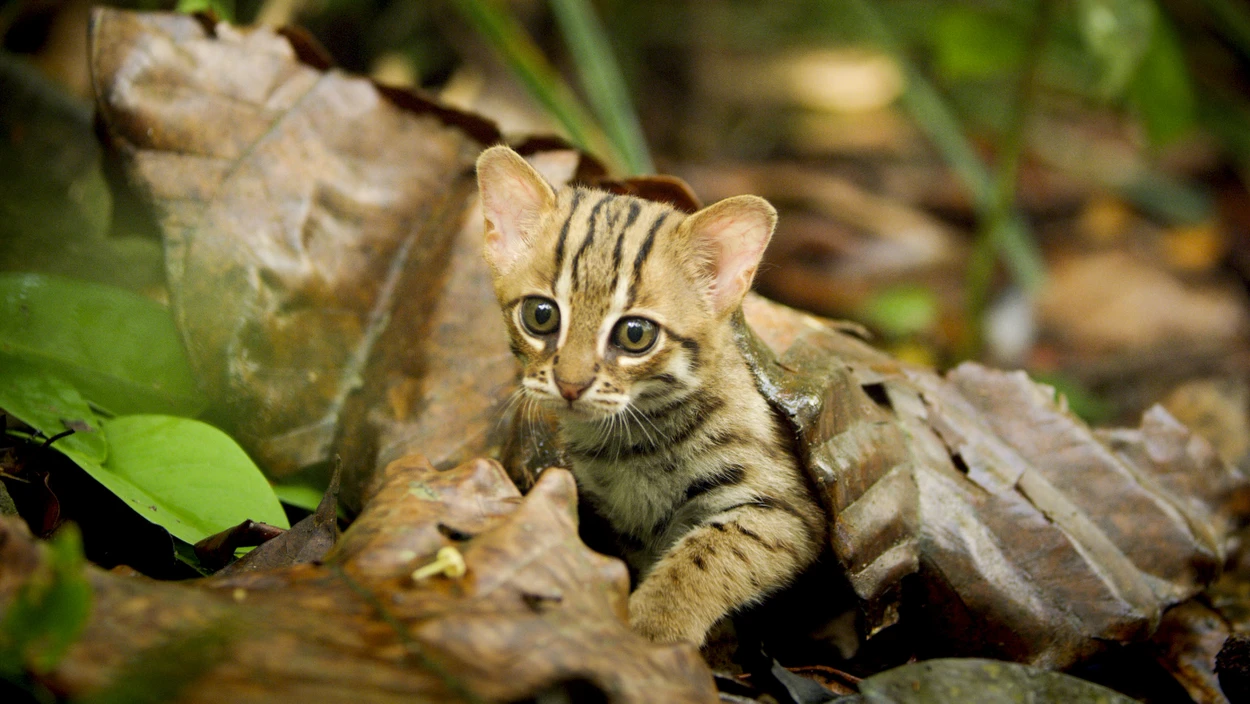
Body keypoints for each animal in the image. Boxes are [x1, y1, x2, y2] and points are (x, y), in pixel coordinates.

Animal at [477, 146, 830, 645]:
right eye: (540, 314)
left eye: (636, 334)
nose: (570, 384)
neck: (632, 441)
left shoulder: (790, 512)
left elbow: (712, 552)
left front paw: (654, 628)